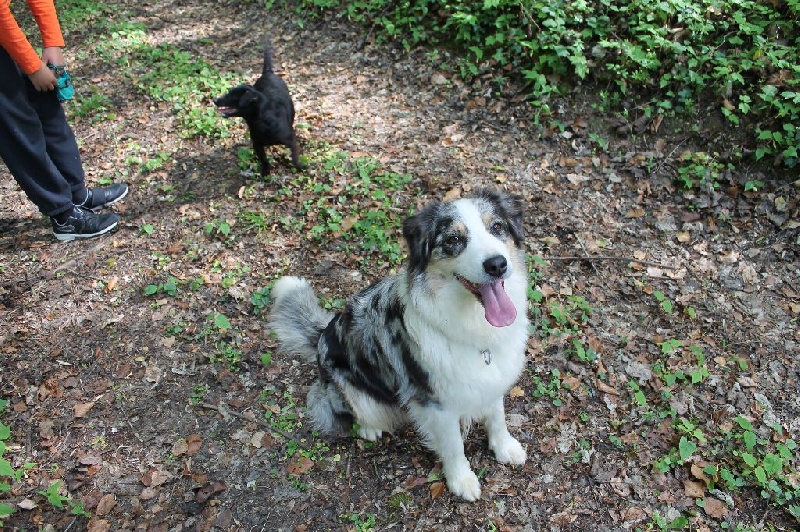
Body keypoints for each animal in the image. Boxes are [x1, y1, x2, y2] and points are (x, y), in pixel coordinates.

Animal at [212, 38, 304, 175]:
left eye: (233, 96)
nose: (215, 100)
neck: (261, 122)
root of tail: (268, 73)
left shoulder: (291, 140)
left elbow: (295, 158)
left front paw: (301, 167)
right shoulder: (257, 145)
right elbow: (264, 160)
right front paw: (265, 173)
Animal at [268, 189, 532, 500]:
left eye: (497, 227)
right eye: (453, 239)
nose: (497, 264)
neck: (473, 324)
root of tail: (322, 333)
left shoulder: (493, 375)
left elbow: (497, 416)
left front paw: (505, 447)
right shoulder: (434, 401)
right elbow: (453, 445)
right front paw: (461, 480)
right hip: (351, 392)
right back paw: (369, 428)